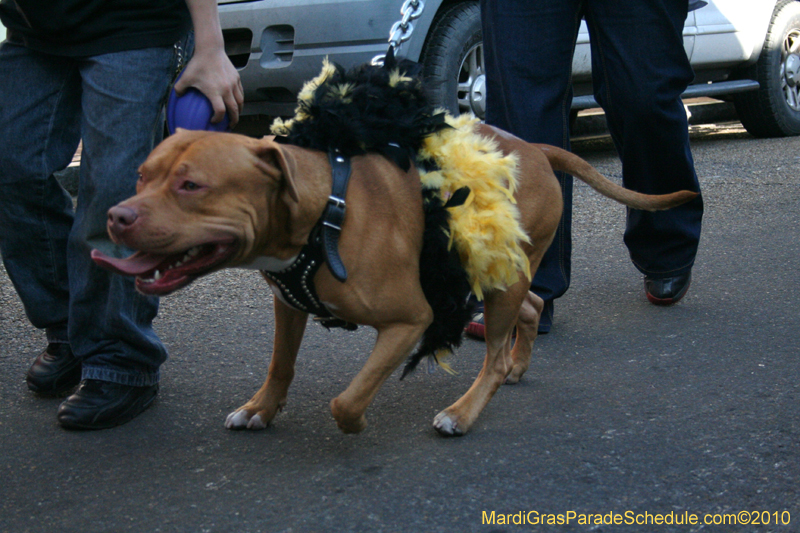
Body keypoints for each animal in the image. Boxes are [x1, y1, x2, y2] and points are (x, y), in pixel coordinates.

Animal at [92, 124, 692, 436]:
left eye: (191, 185)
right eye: (143, 175)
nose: (116, 215)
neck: (320, 214)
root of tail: (534, 149)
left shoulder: (410, 322)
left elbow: (348, 398)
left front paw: (354, 425)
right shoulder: (288, 306)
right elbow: (280, 364)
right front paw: (261, 408)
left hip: (498, 284)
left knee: (495, 355)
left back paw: (464, 411)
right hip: (501, 276)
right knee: (532, 307)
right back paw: (519, 364)